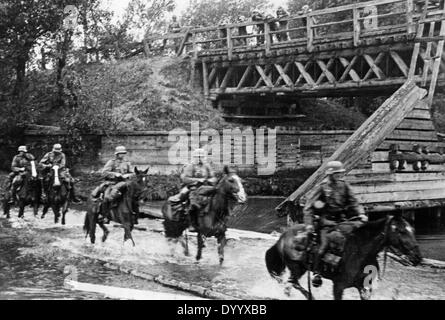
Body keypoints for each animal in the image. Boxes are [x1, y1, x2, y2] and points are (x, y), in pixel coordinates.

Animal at [266, 215, 422, 300]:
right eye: (401, 231)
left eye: (412, 230)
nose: (417, 257)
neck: (359, 251)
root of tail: (283, 237)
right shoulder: (338, 286)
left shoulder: (364, 286)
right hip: (296, 268)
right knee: (292, 283)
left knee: (290, 285)